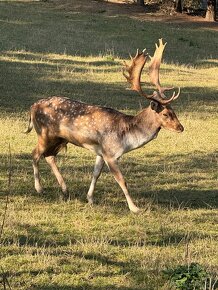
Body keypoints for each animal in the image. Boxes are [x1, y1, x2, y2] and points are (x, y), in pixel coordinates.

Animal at [25, 39, 184, 213]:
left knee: (49, 156)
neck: (127, 138)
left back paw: (65, 190)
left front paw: (90, 198)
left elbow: (96, 174)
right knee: (35, 153)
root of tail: (32, 107)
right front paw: (134, 208)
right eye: (165, 114)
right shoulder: (110, 153)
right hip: (44, 133)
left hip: (60, 139)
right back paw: (39, 188)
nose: (181, 128)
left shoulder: (100, 152)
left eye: (174, 110)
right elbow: (122, 180)